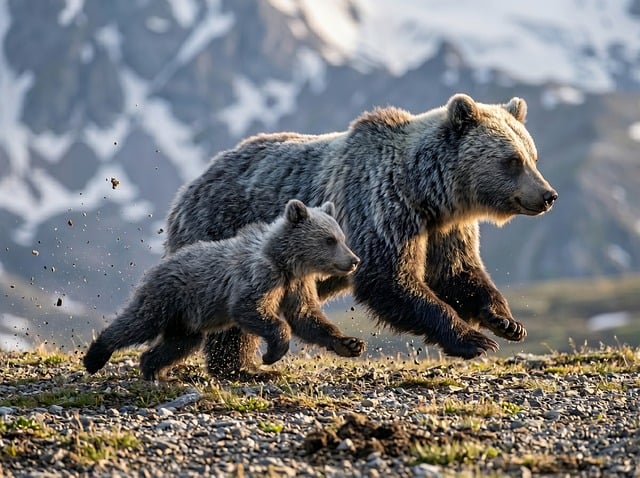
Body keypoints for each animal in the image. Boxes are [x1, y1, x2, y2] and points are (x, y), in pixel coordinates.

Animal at [83, 199, 365, 380]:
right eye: (329, 239)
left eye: (341, 237)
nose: (354, 260)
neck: (285, 262)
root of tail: (161, 263)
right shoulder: (259, 276)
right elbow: (250, 308)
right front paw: (271, 356)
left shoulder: (296, 284)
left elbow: (306, 317)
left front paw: (350, 344)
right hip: (168, 296)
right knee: (139, 323)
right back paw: (95, 356)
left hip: (186, 320)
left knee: (179, 343)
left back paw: (155, 371)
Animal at [164, 93, 557, 378]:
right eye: (513, 160)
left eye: (533, 156)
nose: (548, 195)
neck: (428, 193)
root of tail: (189, 187)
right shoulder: (380, 206)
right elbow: (390, 278)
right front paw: (473, 339)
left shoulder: (444, 229)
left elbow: (457, 273)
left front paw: (506, 322)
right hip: (221, 232)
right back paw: (237, 367)